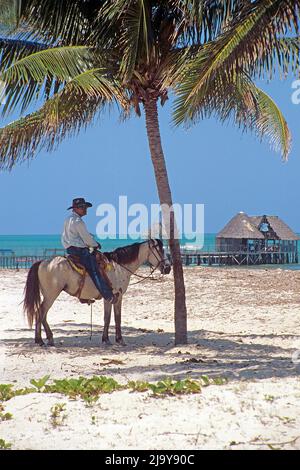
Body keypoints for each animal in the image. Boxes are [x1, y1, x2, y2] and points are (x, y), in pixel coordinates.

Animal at [22, 239, 171, 346]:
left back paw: (48, 338)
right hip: (51, 295)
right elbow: (114, 317)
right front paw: (118, 339)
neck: (119, 267)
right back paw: (40, 340)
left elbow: (110, 317)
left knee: (43, 314)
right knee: (40, 312)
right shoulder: (116, 296)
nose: (168, 268)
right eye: (159, 250)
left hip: (49, 295)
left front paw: (108, 339)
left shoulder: (112, 297)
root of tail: (43, 262)